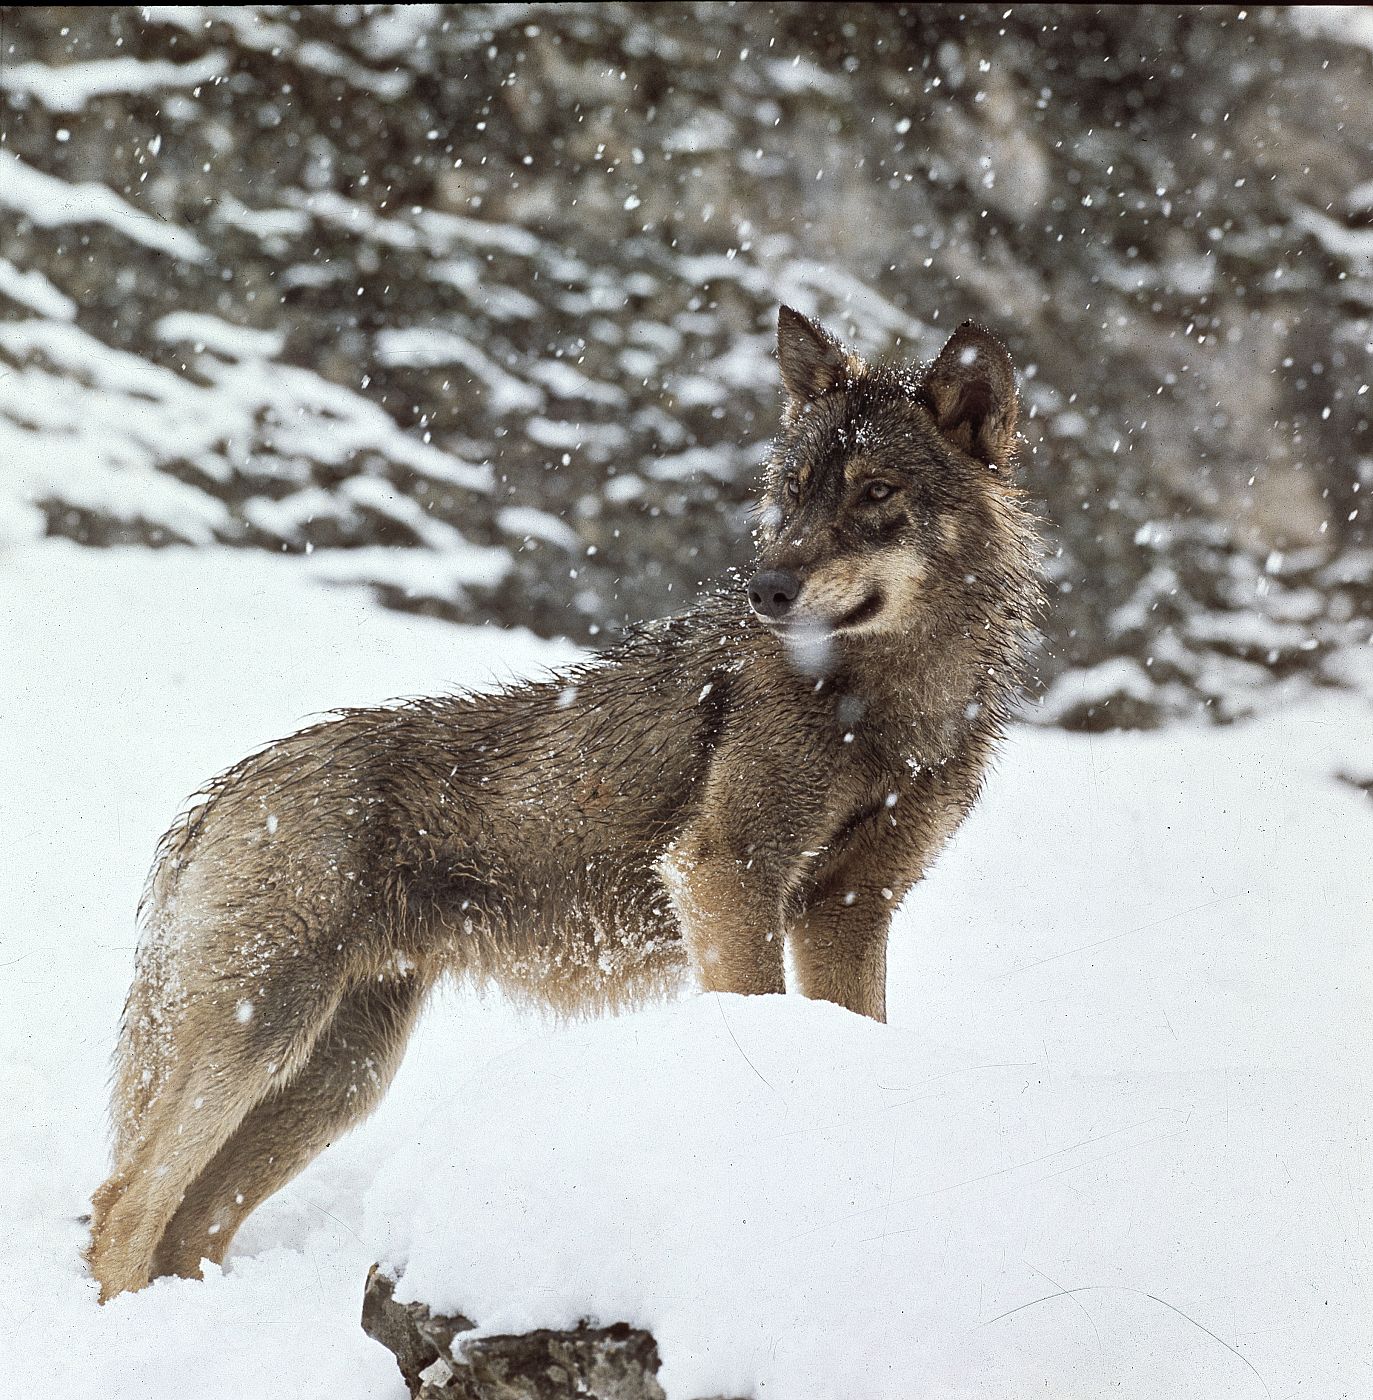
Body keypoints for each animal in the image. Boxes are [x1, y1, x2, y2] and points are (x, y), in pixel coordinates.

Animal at [87, 307, 1041, 1301]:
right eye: (791, 493)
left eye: (875, 492)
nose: (766, 590)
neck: (884, 709)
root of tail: (217, 797)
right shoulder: (725, 876)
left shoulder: (848, 908)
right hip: (266, 1041)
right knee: (125, 1204)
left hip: (339, 1080)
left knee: (189, 1221)